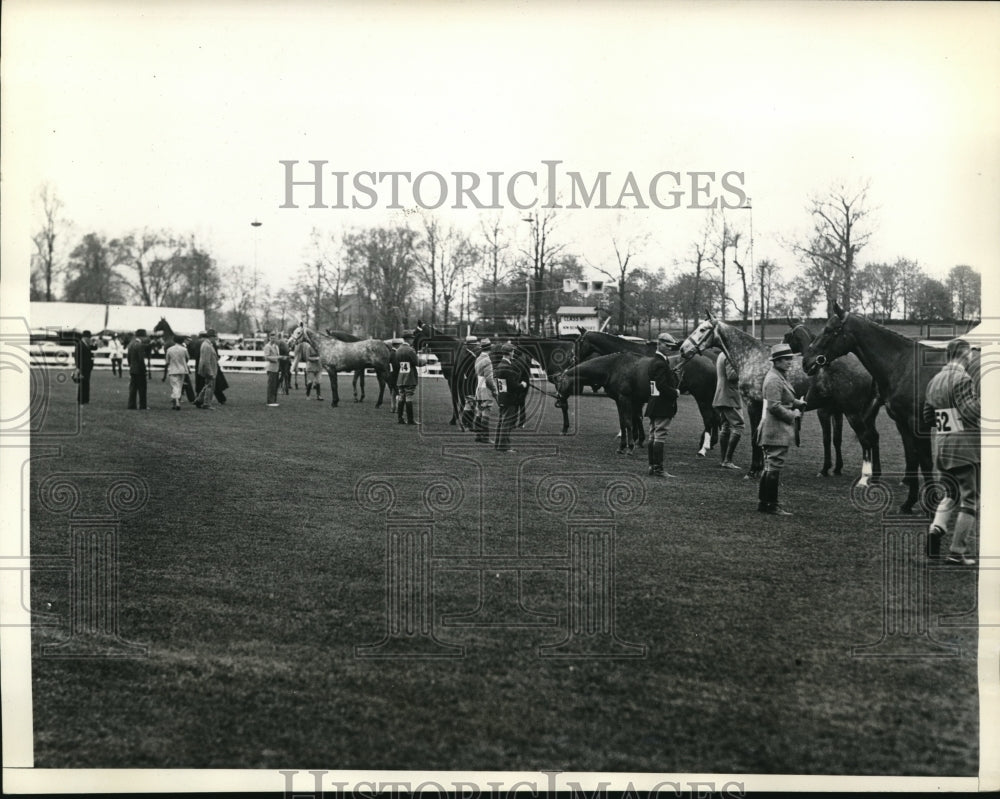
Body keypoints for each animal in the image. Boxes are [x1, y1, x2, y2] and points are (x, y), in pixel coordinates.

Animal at [572, 326, 720, 456]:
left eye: (579, 341)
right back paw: (710, 443)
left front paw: (635, 440)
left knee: (709, 418)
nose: (573, 359)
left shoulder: (633, 399)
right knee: (716, 417)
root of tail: (712, 361)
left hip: (703, 397)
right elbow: (635, 417)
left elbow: (633, 418)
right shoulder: (636, 399)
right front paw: (637, 440)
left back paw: (704, 447)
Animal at [780, 318, 884, 482]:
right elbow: (836, 439)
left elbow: (827, 439)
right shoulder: (837, 413)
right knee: (874, 437)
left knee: (866, 438)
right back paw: (876, 473)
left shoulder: (824, 412)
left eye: (786, 335)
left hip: (855, 415)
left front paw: (825, 468)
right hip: (867, 416)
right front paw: (837, 468)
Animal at [796, 304, 936, 516]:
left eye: (829, 330)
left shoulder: (919, 424)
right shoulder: (903, 423)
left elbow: (926, 462)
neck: (904, 366)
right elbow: (913, 458)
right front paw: (908, 504)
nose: (806, 362)